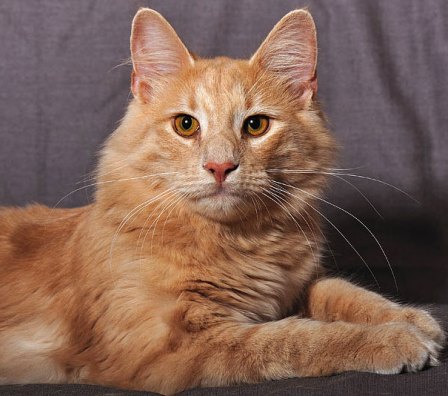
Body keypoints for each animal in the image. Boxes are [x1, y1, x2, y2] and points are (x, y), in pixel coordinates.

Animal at [0, 6, 444, 396]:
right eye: (185, 125)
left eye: (256, 125)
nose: (219, 166)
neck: (237, 243)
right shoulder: (168, 349)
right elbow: (294, 338)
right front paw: (392, 339)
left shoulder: (297, 284)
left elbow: (346, 292)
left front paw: (411, 320)